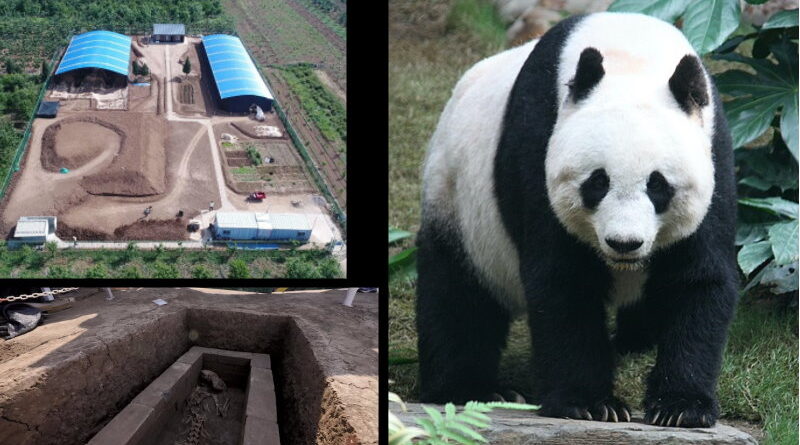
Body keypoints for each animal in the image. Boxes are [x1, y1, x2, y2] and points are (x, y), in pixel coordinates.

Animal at [416, 12, 738, 428]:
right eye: (597, 182)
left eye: (658, 185)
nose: (624, 243)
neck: (632, 57)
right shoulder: (537, 144)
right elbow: (564, 280)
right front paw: (591, 404)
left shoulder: (714, 154)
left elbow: (697, 279)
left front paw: (680, 407)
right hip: (458, 201)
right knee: (458, 295)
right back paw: (472, 388)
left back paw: (635, 341)